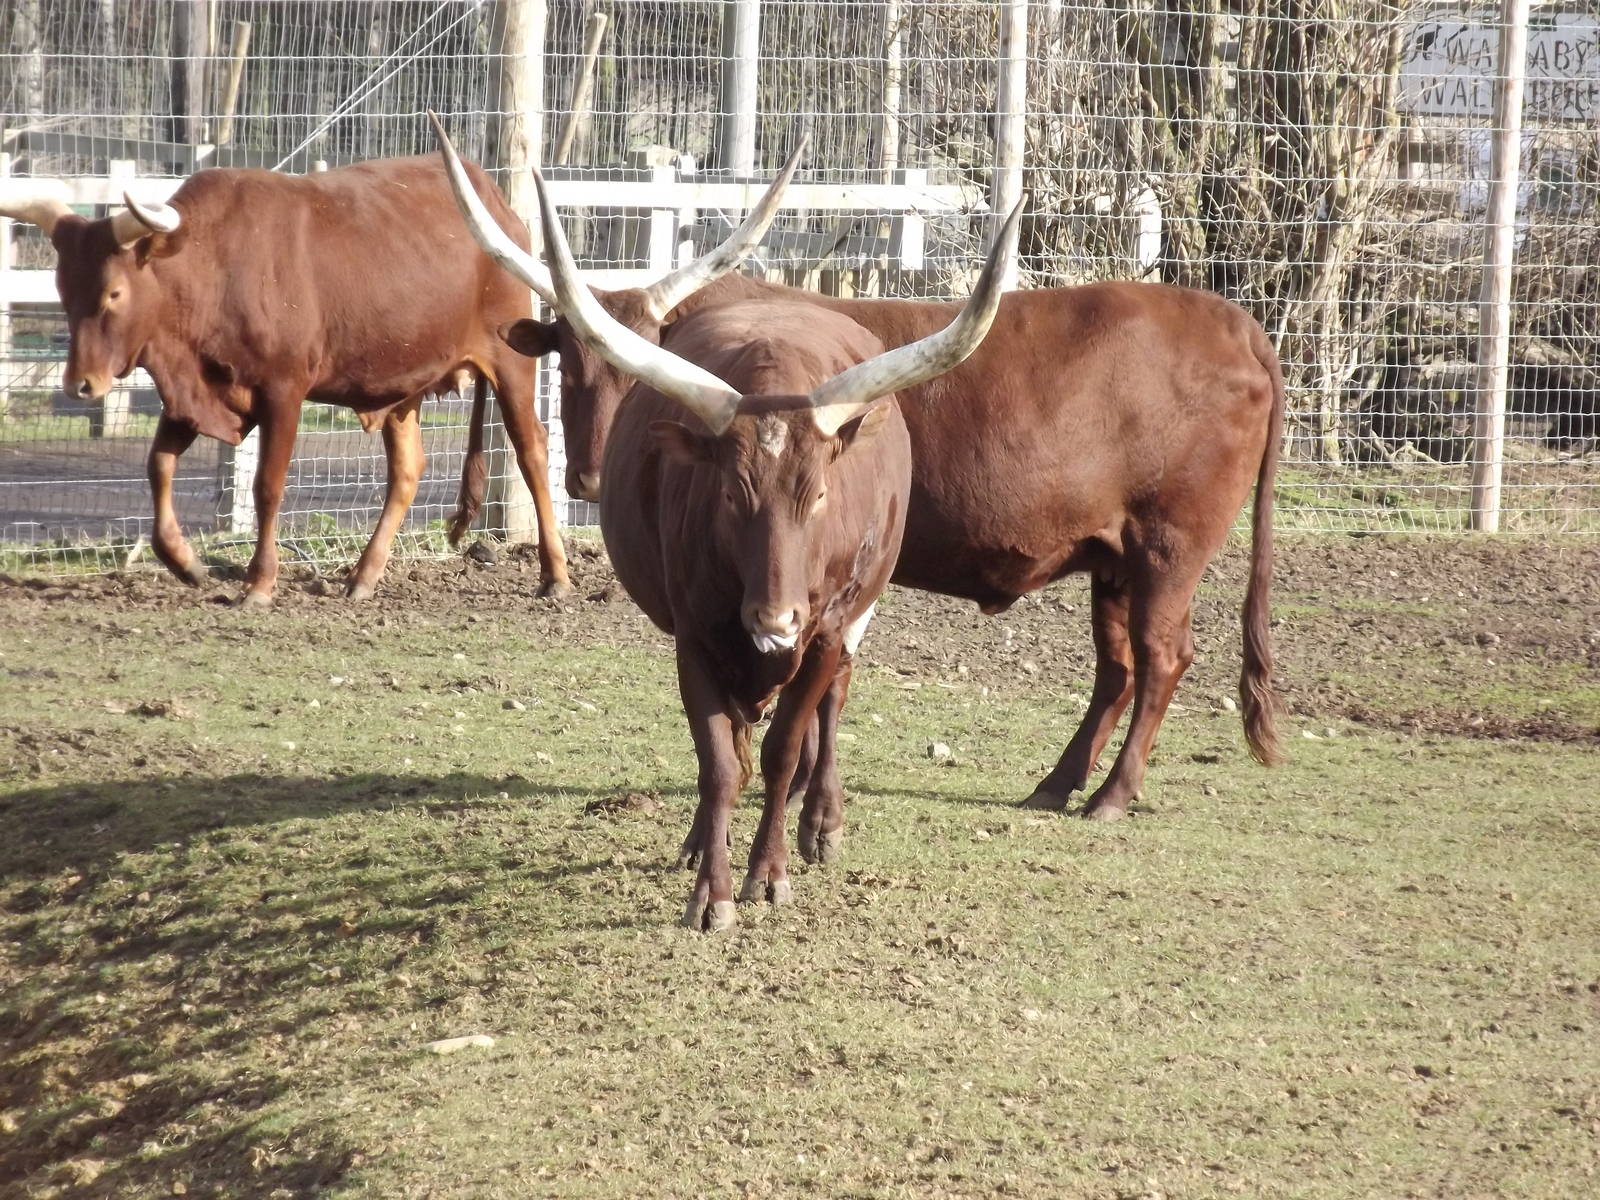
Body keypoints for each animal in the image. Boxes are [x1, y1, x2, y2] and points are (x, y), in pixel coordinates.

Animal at [436, 125, 1283, 837]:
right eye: (567, 364)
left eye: (637, 368)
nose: (587, 473)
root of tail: (1236, 323)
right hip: (1113, 558)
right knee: (1118, 669)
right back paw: (1057, 783)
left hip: (1169, 548)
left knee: (1162, 659)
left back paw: (1111, 794)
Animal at [527, 159, 1019, 929]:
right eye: (731, 494)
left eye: (817, 495)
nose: (773, 618)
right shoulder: (694, 635)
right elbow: (721, 762)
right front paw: (713, 890)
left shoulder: (825, 630)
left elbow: (787, 747)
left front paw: (771, 872)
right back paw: (704, 839)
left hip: (853, 614)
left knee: (827, 707)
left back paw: (821, 824)